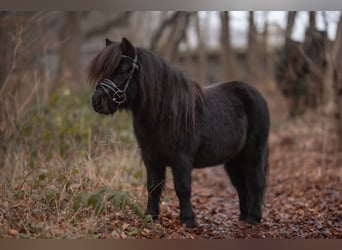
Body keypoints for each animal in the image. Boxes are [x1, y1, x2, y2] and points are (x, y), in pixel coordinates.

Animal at [88, 38, 270, 228]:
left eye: (123, 70)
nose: (97, 101)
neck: (167, 114)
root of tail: (254, 93)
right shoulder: (151, 158)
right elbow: (153, 186)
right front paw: (150, 216)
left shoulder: (181, 159)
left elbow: (182, 188)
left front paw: (188, 220)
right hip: (234, 158)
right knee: (241, 185)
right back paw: (243, 216)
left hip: (253, 153)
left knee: (256, 182)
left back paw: (253, 218)